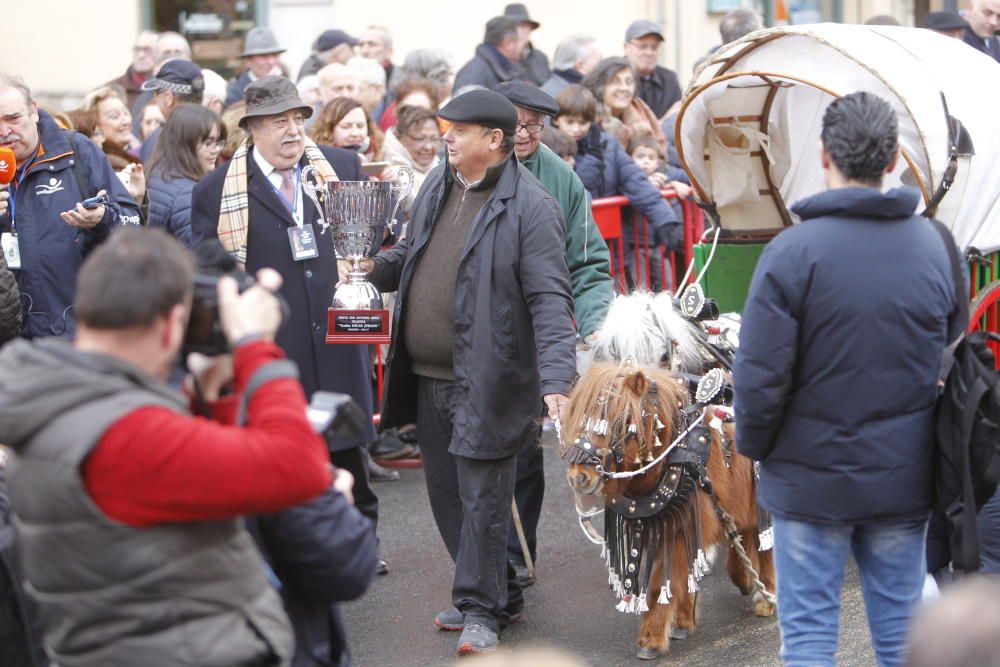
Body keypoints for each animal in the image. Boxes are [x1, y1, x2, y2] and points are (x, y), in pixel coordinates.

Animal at [560, 362, 776, 660]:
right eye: (579, 416)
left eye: (621, 420)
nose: (578, 477)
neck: (677, 455)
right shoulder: (663, 524)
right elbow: (682, 574)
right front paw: (683, 621)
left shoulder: (682, 526)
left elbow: (663, 582)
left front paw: (651, 638)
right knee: (744, 536)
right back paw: (745, 577)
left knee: (767, 546)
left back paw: (767, 596)